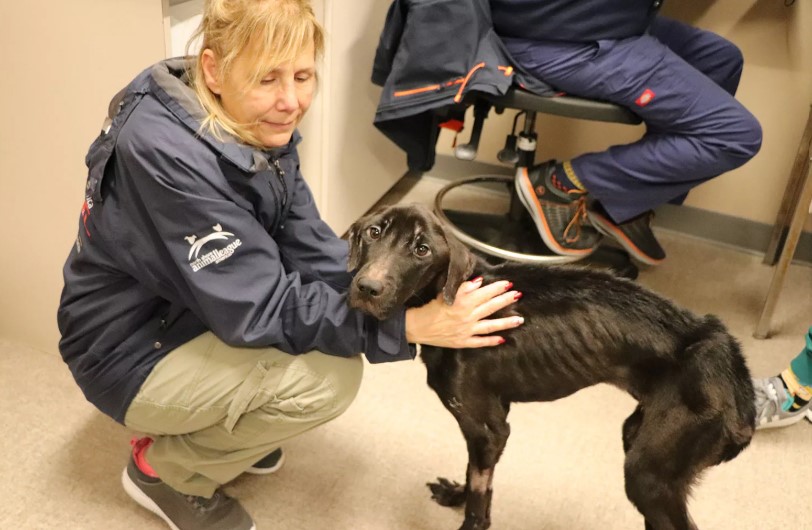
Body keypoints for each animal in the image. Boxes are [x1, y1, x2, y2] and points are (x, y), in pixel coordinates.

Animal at [348, 202, 756, 528]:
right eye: (373, 232)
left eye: (422, 250)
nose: (366, 289)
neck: (454, 294)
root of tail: (736, 374)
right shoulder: (491, 420)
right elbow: (475, 473)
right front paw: (455, 496)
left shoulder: (487, 428)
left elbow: (481, 497)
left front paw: (470, 516)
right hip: (639, 436)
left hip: (649, 476)